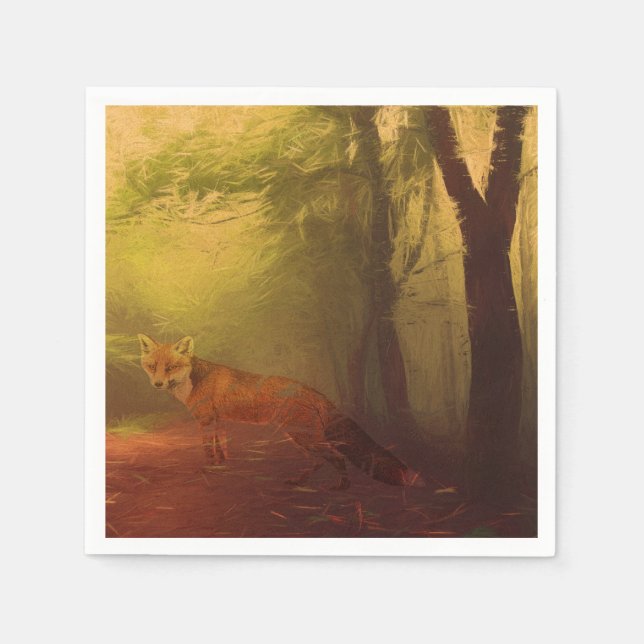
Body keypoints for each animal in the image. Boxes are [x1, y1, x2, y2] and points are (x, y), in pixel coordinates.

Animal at [137, 334, 424, 490]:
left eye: (171, 367)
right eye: (152, 366)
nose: (158, 384)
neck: (193, 381)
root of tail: (314, 391)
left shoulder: (206, 421)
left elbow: (208, 450)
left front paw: (209, 469)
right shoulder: (218, 421)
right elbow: (221, 448)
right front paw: (222, 465)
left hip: (302, 436)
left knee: (336, 457)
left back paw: (341, 488)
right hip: (299, 437)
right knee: (319, 461)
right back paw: (300, 482)